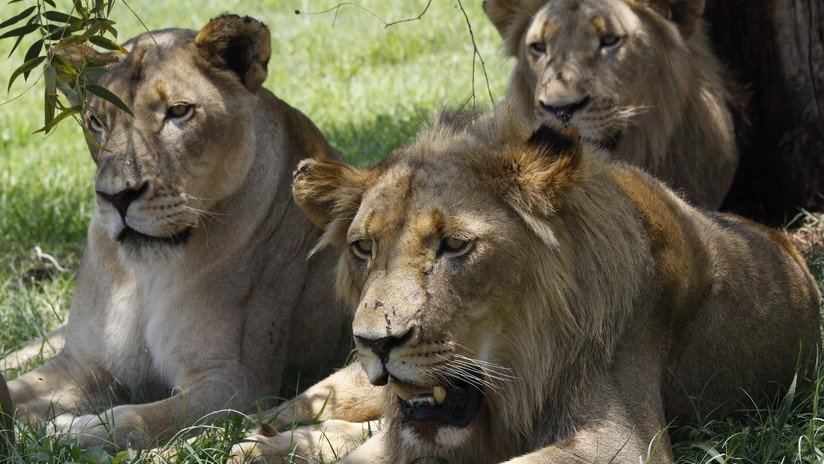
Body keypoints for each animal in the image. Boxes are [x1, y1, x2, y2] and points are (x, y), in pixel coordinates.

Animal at [3, 15, 352, 450]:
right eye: (96, 121)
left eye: (179, 112)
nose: (117, 197)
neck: (143, 275)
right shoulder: (80, 363)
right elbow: (22, 388)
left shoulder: (237, 385)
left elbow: (138, 418)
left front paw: (71, 429)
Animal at [229, 109, 820, 463]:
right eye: (363, 248)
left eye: (454, 246)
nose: (375, 343)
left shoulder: (623, 442)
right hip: (347, 387)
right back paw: (247, 440)